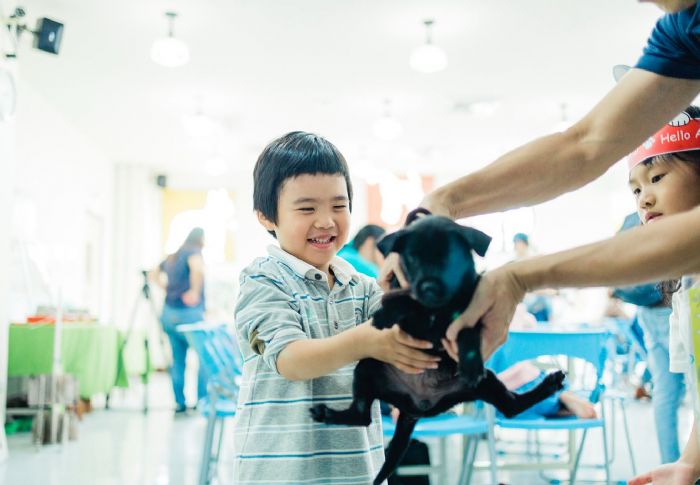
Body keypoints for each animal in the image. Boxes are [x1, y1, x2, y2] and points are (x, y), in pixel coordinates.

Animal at [308, 216, 568, 484]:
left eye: (449, 257)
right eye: (413, 258)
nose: (430, 287)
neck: (437, 308)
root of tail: (415, 408)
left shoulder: (473, 310)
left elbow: (466, 332)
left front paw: (470, 362)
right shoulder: (406, 310)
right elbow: (406, 300)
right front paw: (387, 313)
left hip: (485, 383)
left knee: (510, 407)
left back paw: (549, 384)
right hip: (368, 368)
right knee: (362, 415)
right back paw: (329, 415)